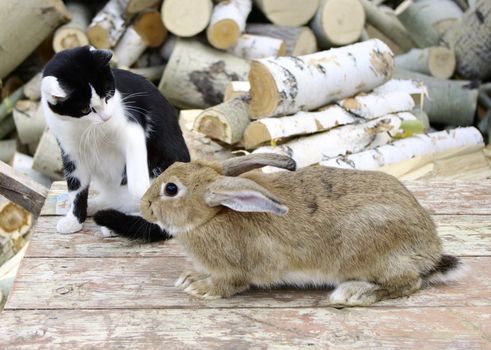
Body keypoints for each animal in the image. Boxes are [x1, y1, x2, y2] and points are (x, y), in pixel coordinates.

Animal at [40, 46, 190, 241]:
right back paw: (97, 208)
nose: (106, 117)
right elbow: (76, 186)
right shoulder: (70, 150)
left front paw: (140, 187)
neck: (84, 127)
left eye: (108, 95)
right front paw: (74, 219)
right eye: (85, 109)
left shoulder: (131, 124)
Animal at [140, 154, 468, 306]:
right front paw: (189, 278)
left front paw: (200, 288)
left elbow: (228, 285)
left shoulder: (235, 271)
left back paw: (354, 293)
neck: (213, 215)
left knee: (409, 283)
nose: (144, 206)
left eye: (171, 189)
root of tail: (430, 251)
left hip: (370, 253)